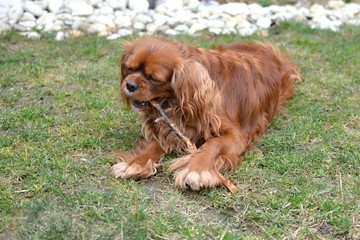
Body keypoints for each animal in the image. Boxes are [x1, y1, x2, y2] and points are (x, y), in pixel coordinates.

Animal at [111, 37, 300, 191]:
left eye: (153, 78)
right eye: (129, 68)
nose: (130, 85)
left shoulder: (236, 134)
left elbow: (213, 144)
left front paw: (197, 170)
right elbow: (153, 145)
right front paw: (134, 163)